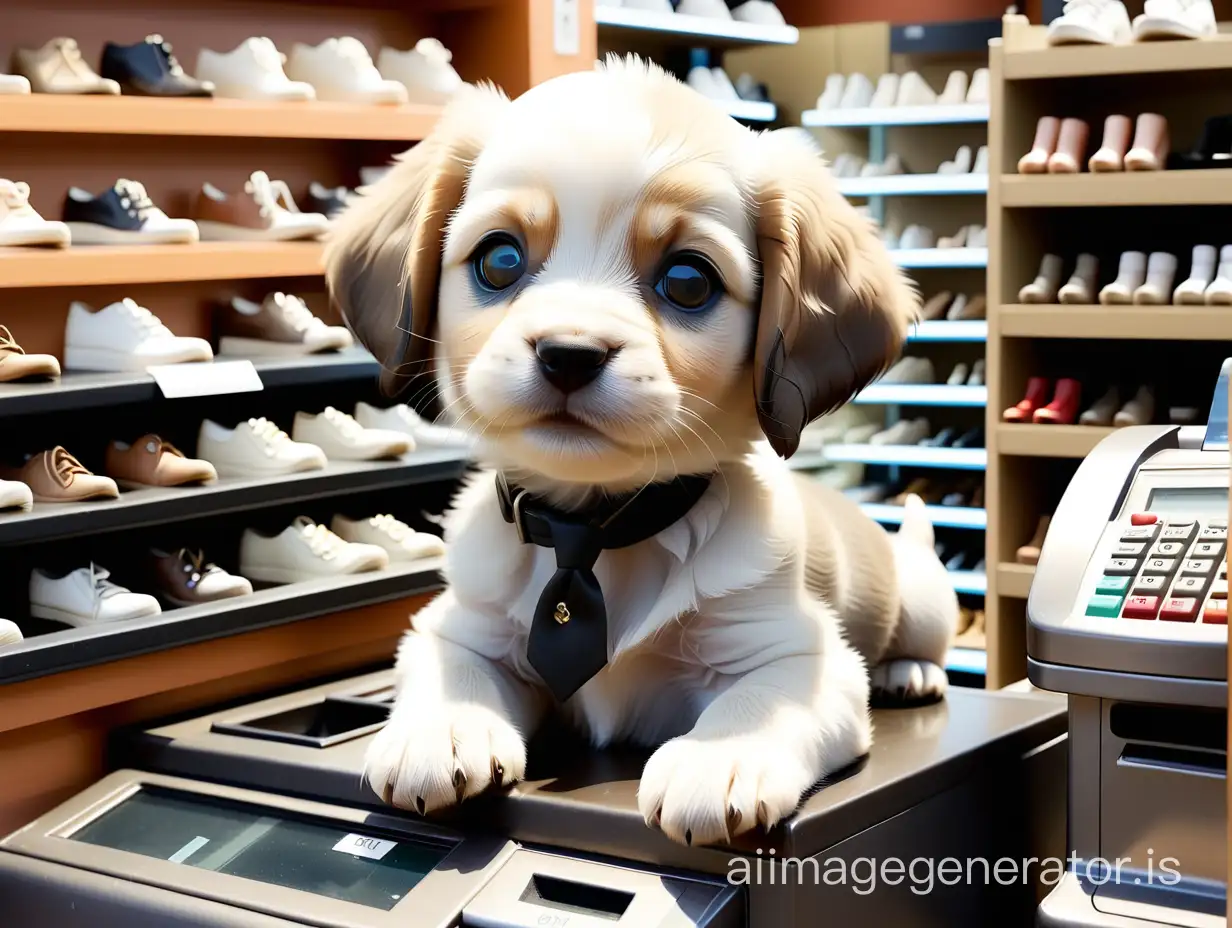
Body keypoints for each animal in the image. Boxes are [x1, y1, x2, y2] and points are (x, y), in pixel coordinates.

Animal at [322, 52, 956, 847]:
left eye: (687, 280)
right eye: (499, 259)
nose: (569, 354)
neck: (591, 530)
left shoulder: (806, 658)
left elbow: (757, 702)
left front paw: (720, 759)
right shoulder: (457, 625)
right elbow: (449, 668)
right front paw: (443, 730)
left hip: (923, 599)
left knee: (921, 640)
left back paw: (911, 673)